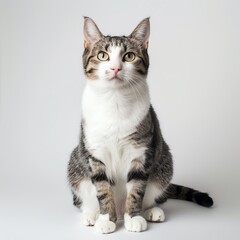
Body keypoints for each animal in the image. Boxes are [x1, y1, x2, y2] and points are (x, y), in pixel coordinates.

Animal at [67, 17, 214, 234]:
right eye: (103, 55)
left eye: (129, 56)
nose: (115, 68)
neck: (115, 100)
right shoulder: (95, 152)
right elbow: (102, 188)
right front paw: (105, 218)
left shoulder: (141, 151)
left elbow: (137, 188)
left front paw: (134, 217)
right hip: (76, 164)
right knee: (83, 196)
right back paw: (92, 214)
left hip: (164, 162)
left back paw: (150, 210)